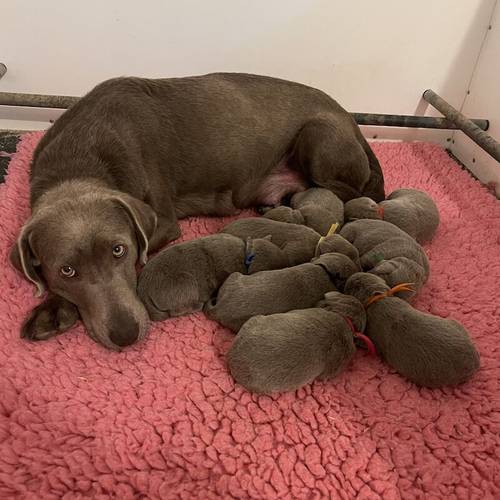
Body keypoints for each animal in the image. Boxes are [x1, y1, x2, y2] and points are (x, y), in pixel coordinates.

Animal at [9, 72, 384, 350]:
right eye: (67, 270)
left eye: (119, 250)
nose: (126, 334)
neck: (80, 159)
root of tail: (349, 118)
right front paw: (50, 311)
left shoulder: (162, 222)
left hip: (317, 135)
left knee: (346, 193)